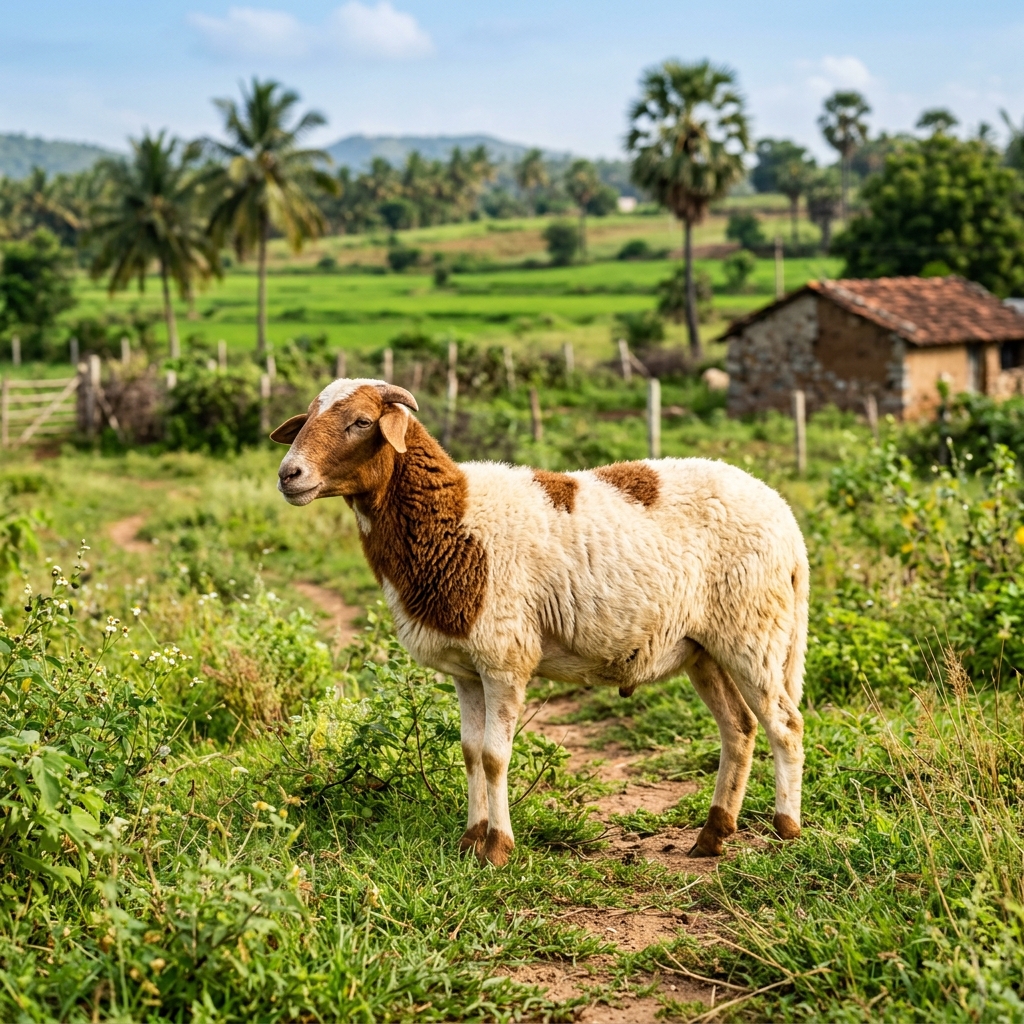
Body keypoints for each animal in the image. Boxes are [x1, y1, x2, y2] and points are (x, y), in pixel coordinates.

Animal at [272, 378, 809, 867]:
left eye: (362, 421)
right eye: (307, 417)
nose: (288, 474)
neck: (454, 518)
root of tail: (785, 516)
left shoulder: (504, 659)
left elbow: (495, 756)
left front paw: (497, 849)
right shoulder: (467, 669)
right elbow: (470, 752)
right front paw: (469, 841)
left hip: (754, 631)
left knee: (785, 725)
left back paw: (785, 830)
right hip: (704, 646)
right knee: (739, 728)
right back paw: (712, 836)